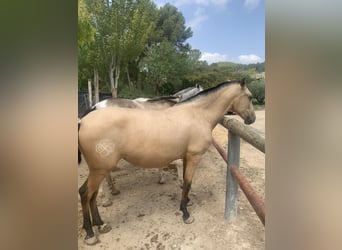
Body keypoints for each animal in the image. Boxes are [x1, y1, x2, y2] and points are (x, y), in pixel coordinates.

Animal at [77, 79, 254, 244]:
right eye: (250, 97)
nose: (252, 119)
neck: (197, 114)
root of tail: (83, 121)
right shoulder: (194, 157)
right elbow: (187, 183)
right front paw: (185, 214)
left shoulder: (186, 156)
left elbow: (185, 183)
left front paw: (187, 202)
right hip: (99, 169)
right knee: (86, 193)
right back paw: (91, 233)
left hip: (98, 170)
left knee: (92, 194)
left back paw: (100, 224)